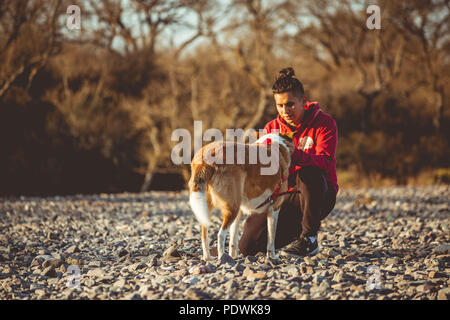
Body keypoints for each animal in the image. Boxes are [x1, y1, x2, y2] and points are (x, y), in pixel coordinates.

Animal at [188, 134, 294, 262]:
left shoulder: (239, 212)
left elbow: (233, 238)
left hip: (210, 207)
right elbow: (271, 238)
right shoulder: (275, 208)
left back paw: (208, 257)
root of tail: (206, 157)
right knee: (220, 235)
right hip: (232, 208)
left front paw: (233, 255)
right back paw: (222, 258)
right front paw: (272, 256)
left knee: (204, 234)